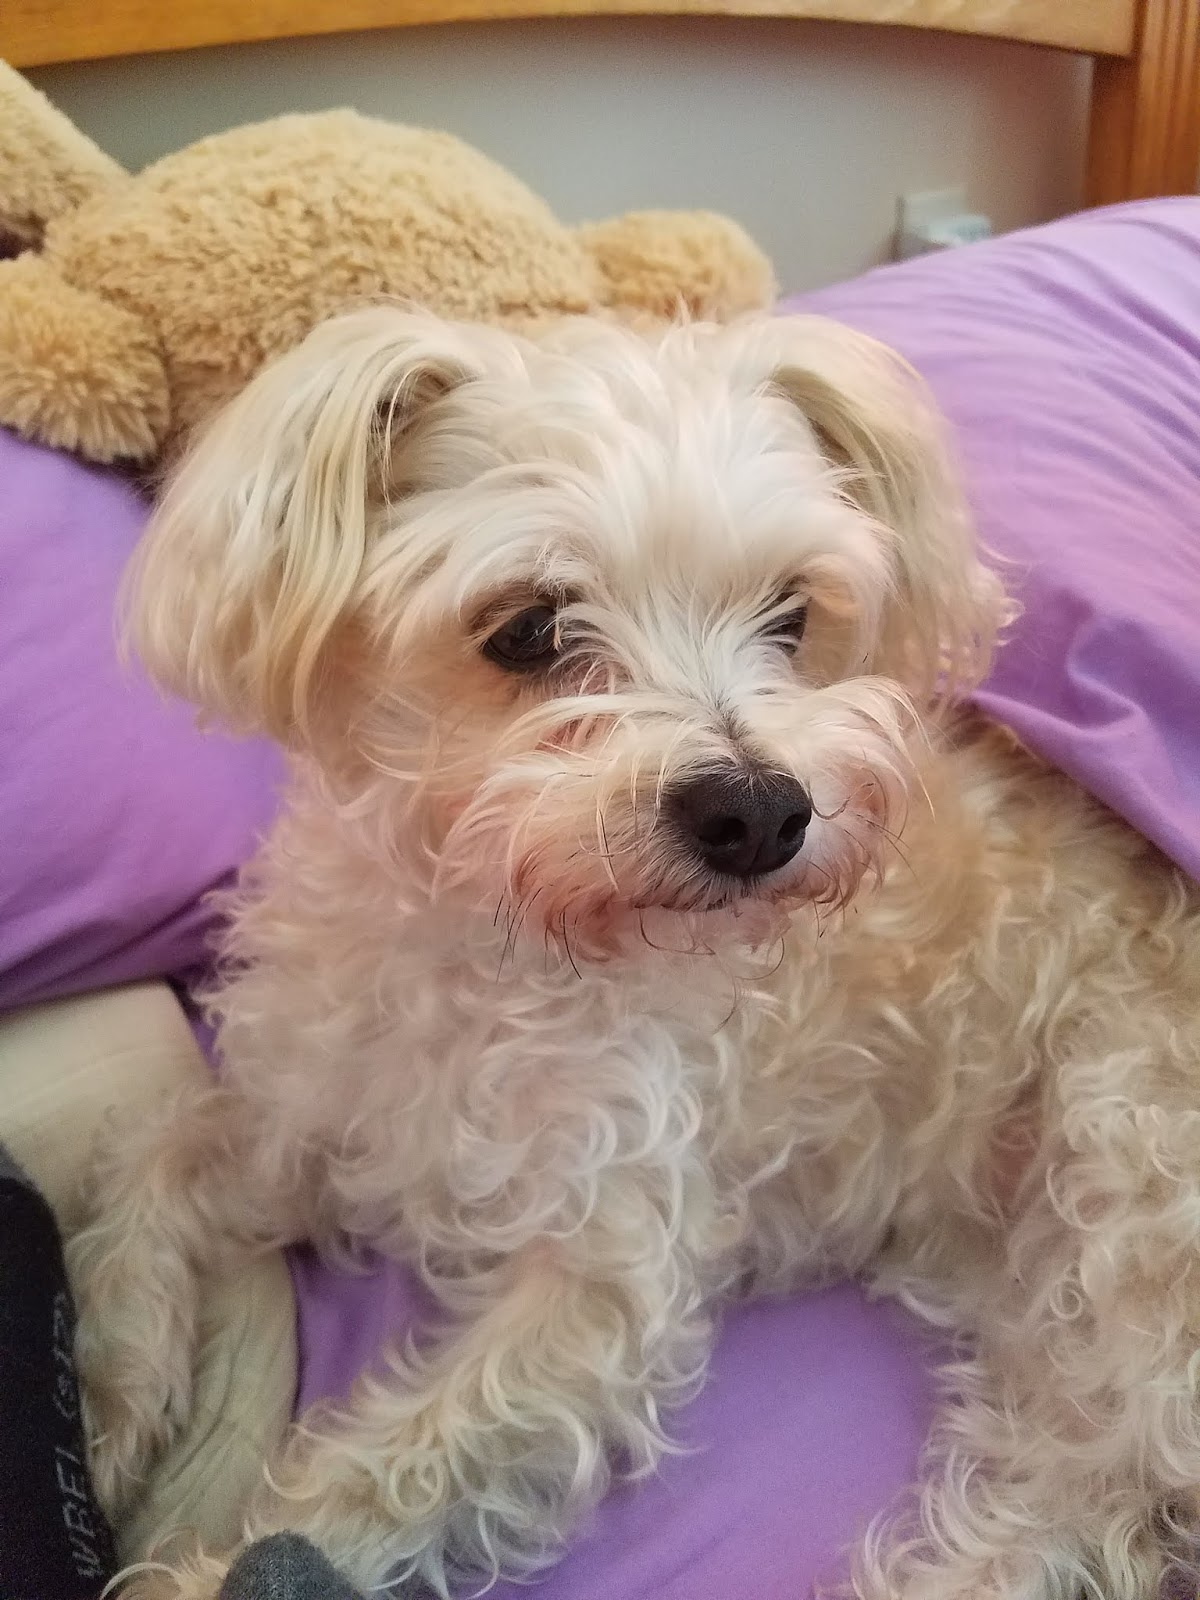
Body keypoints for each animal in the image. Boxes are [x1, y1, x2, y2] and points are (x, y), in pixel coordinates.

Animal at [68, 305, 1200, 1600]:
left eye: (791, 617)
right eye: (527, 628)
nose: (762, 812)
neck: (484, 941)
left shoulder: (610, 1274)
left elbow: (397, 1464)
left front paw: (211, 1572)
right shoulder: (320, 1120)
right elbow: (149, 1167)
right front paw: (106, 1413)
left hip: (1126, 1184)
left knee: (1093, 1495)